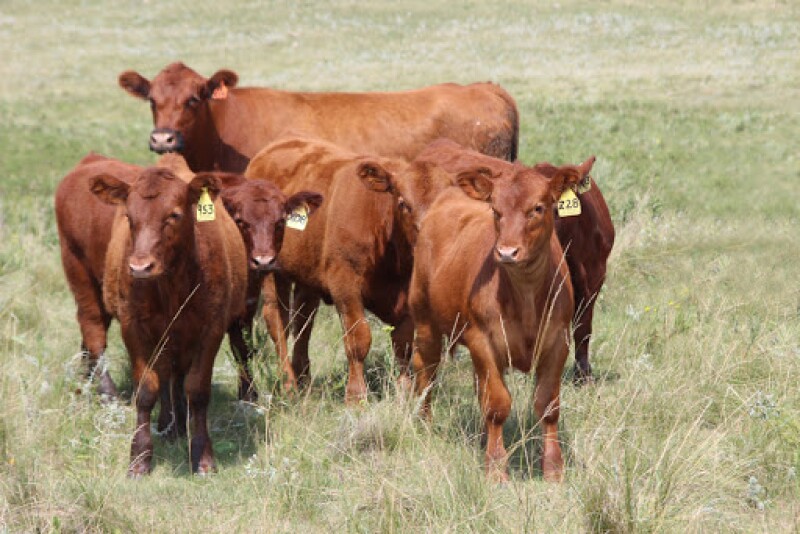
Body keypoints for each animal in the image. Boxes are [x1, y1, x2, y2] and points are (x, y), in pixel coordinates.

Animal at [91, 167, 247, 476]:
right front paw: (139, 458)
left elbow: (197, 391)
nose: (140, 266)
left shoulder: (211, 330)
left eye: (173, 215)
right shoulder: (133, 329)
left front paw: (202, 455)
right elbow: (146, 389)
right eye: (129, 217)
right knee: (165, 377)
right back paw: (168, 424)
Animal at [243, 137, 414, 402]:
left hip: (307, 276)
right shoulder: (345, 286)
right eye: (403, 201)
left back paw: (304, 380)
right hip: (270, 268)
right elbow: (358, 338)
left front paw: (406, 394)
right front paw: (356, 397)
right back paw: (289, 386)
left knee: (303, 319)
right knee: (277, 319)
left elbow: (404, 344)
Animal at [407, 158, 594, 481]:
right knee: (427, 369)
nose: (507, 252)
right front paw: (496, 468)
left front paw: (553, 468)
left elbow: (548, 405)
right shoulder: (482, 340)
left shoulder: (558, 342)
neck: (526, 295)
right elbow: (496, 404)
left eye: (538, 208)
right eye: (496, 210)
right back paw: (424, 421)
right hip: (425, 320)